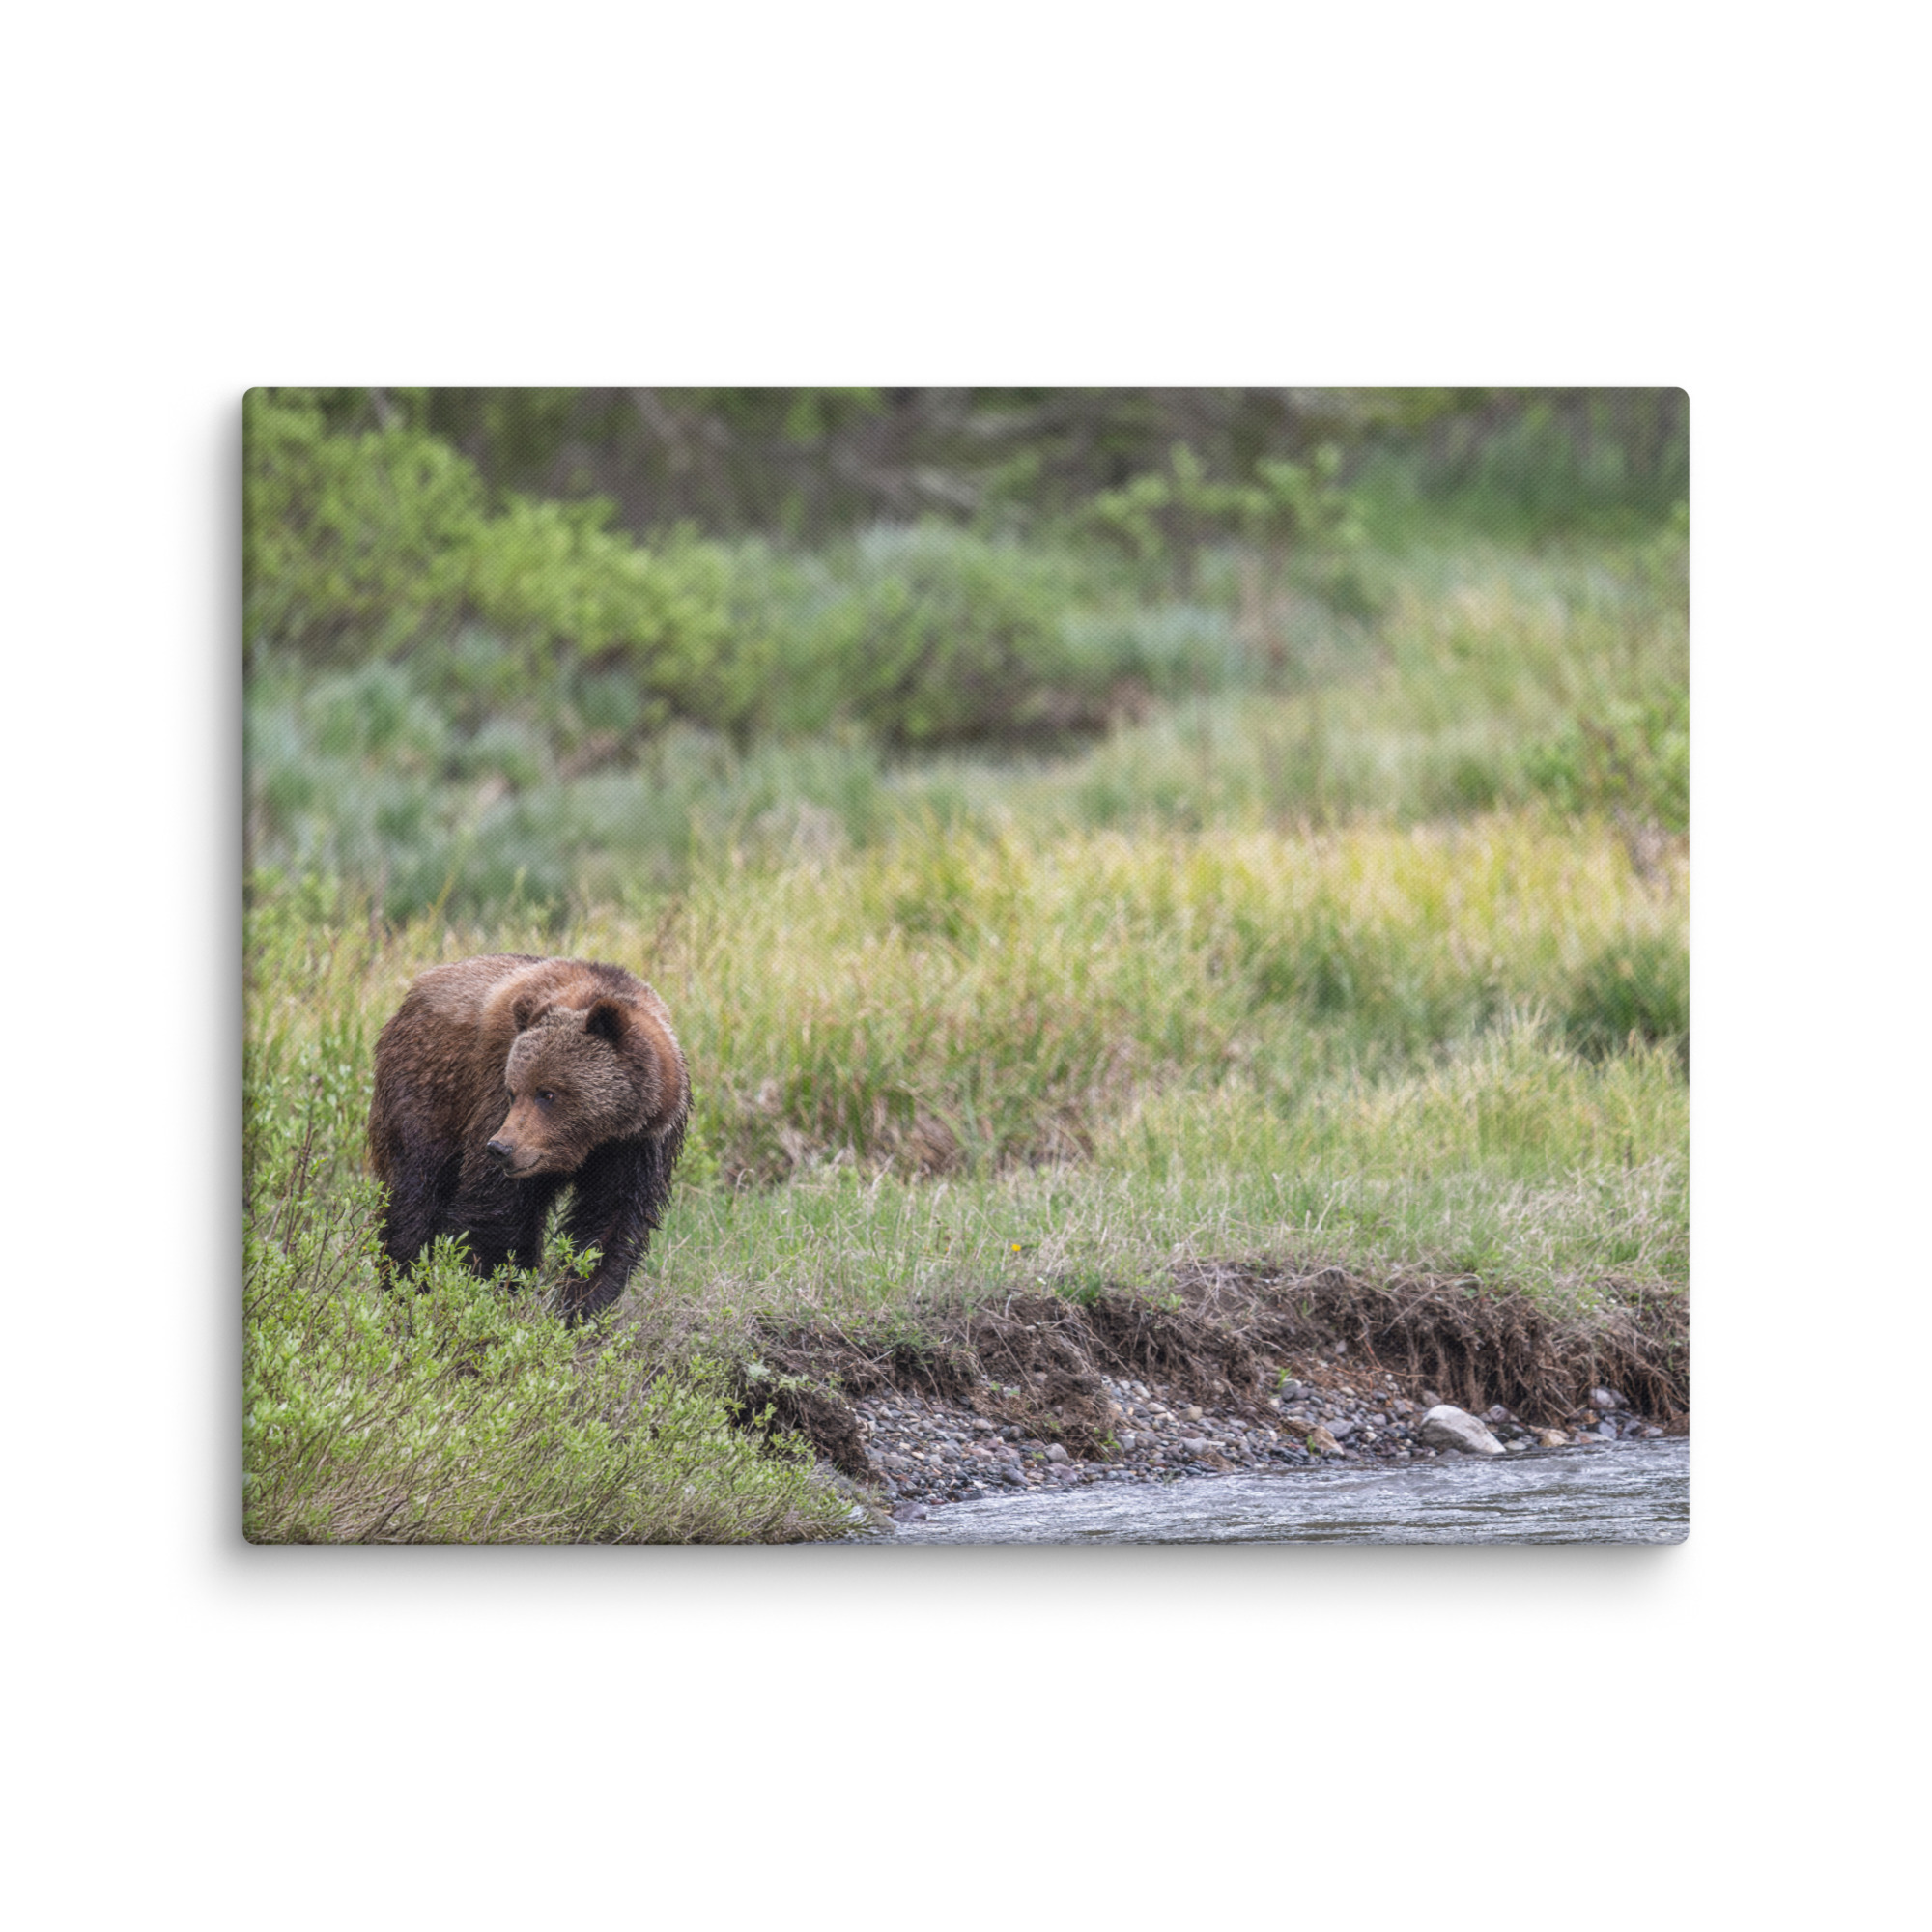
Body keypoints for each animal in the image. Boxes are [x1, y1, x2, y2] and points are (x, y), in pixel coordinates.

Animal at [368, 954, 689, 1323]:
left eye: (548, 1093)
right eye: (513, 1091)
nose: (501, 1148)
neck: (593, 1139)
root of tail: (415, 991)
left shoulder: (638, 1147)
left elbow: (609, 1225)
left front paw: (580, 1309)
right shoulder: (493, 1095)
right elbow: (497, 1214)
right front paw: (490, 1294)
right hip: (427, 1091)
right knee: (414, 1193)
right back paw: (404, 1286)